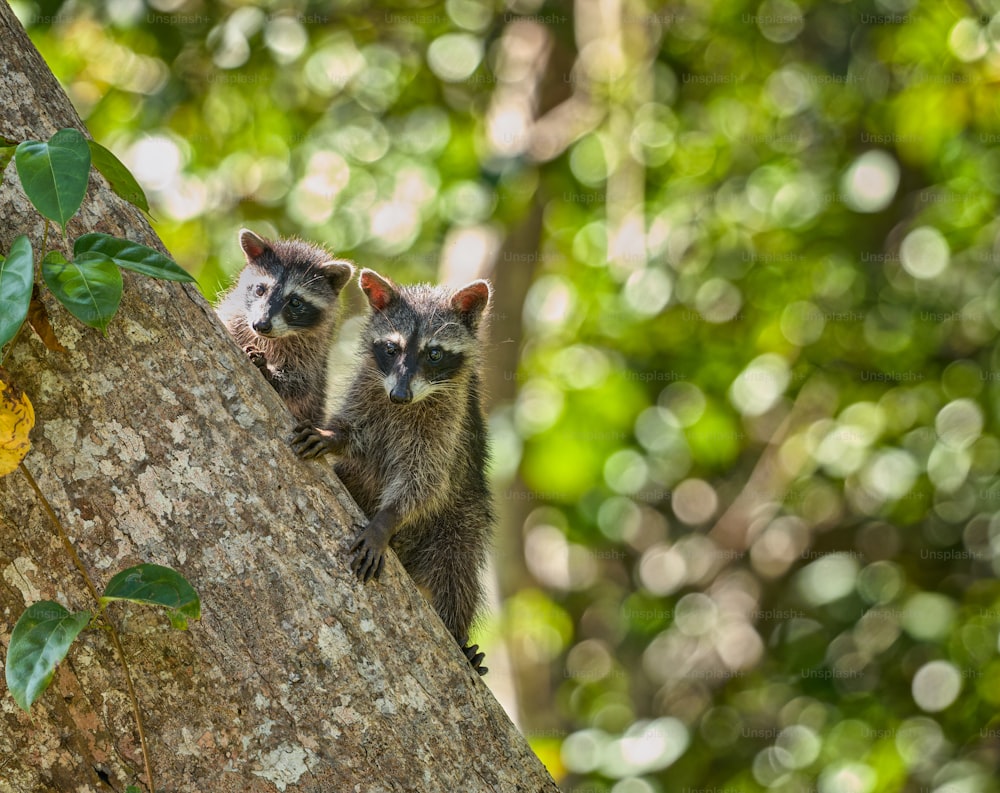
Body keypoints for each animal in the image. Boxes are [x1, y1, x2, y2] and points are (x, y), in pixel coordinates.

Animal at [216, 230, 356, 426]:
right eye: (260, 290)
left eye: (295, 302)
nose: (261, 325)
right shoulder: (235, 318)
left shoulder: (311, 352)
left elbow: (301, 385)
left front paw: (269, 372)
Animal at [292, 270, 496, 672]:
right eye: (392, 349)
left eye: (434, 353)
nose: (399, 396)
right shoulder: (368, 387)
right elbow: (356, 431)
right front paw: (334, 436)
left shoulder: (448, 425)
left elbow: (426, 480)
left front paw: (387, 518)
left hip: (462, 518)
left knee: (457, 569)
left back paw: (458, 635)